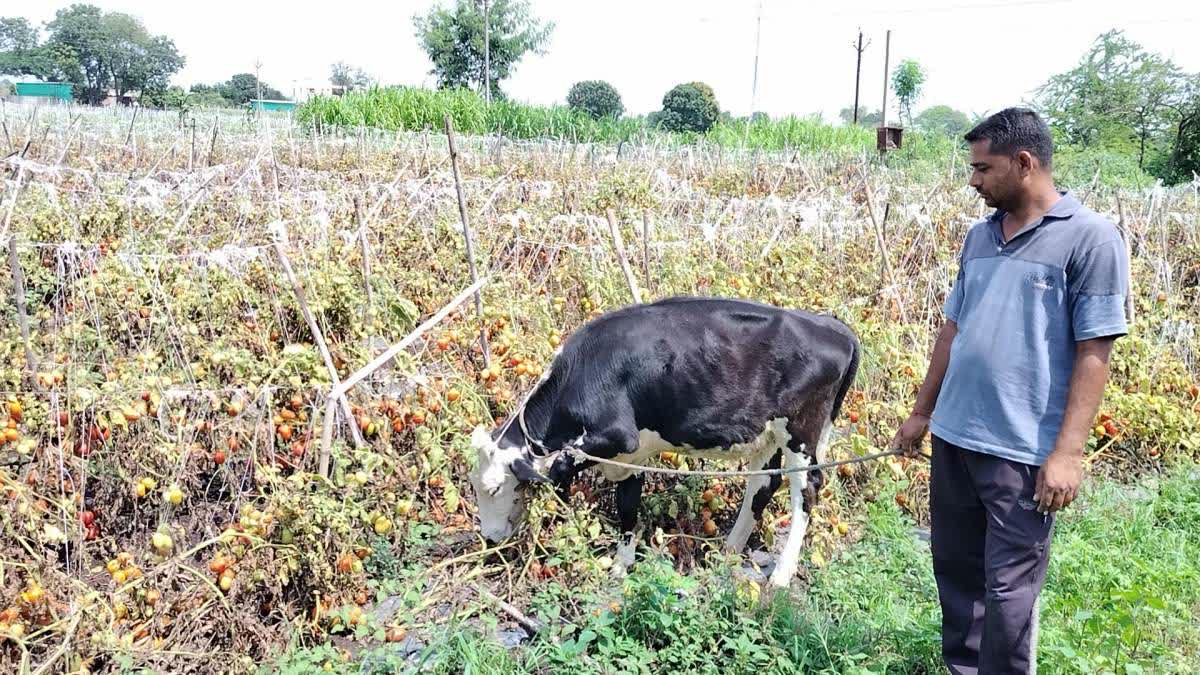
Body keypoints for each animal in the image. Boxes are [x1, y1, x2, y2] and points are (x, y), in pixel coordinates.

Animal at [468, 294, 864, 583]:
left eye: (493, 488)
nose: (489, 537)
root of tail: (833, 326)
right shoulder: (631, 455)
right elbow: (628, 506)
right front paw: (621, 565)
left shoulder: (619, 438)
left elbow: (563, 462)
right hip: (767, 434)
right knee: (763, 485)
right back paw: (728, 551)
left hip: (801, 432)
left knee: (806, 491)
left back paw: (780, 575)